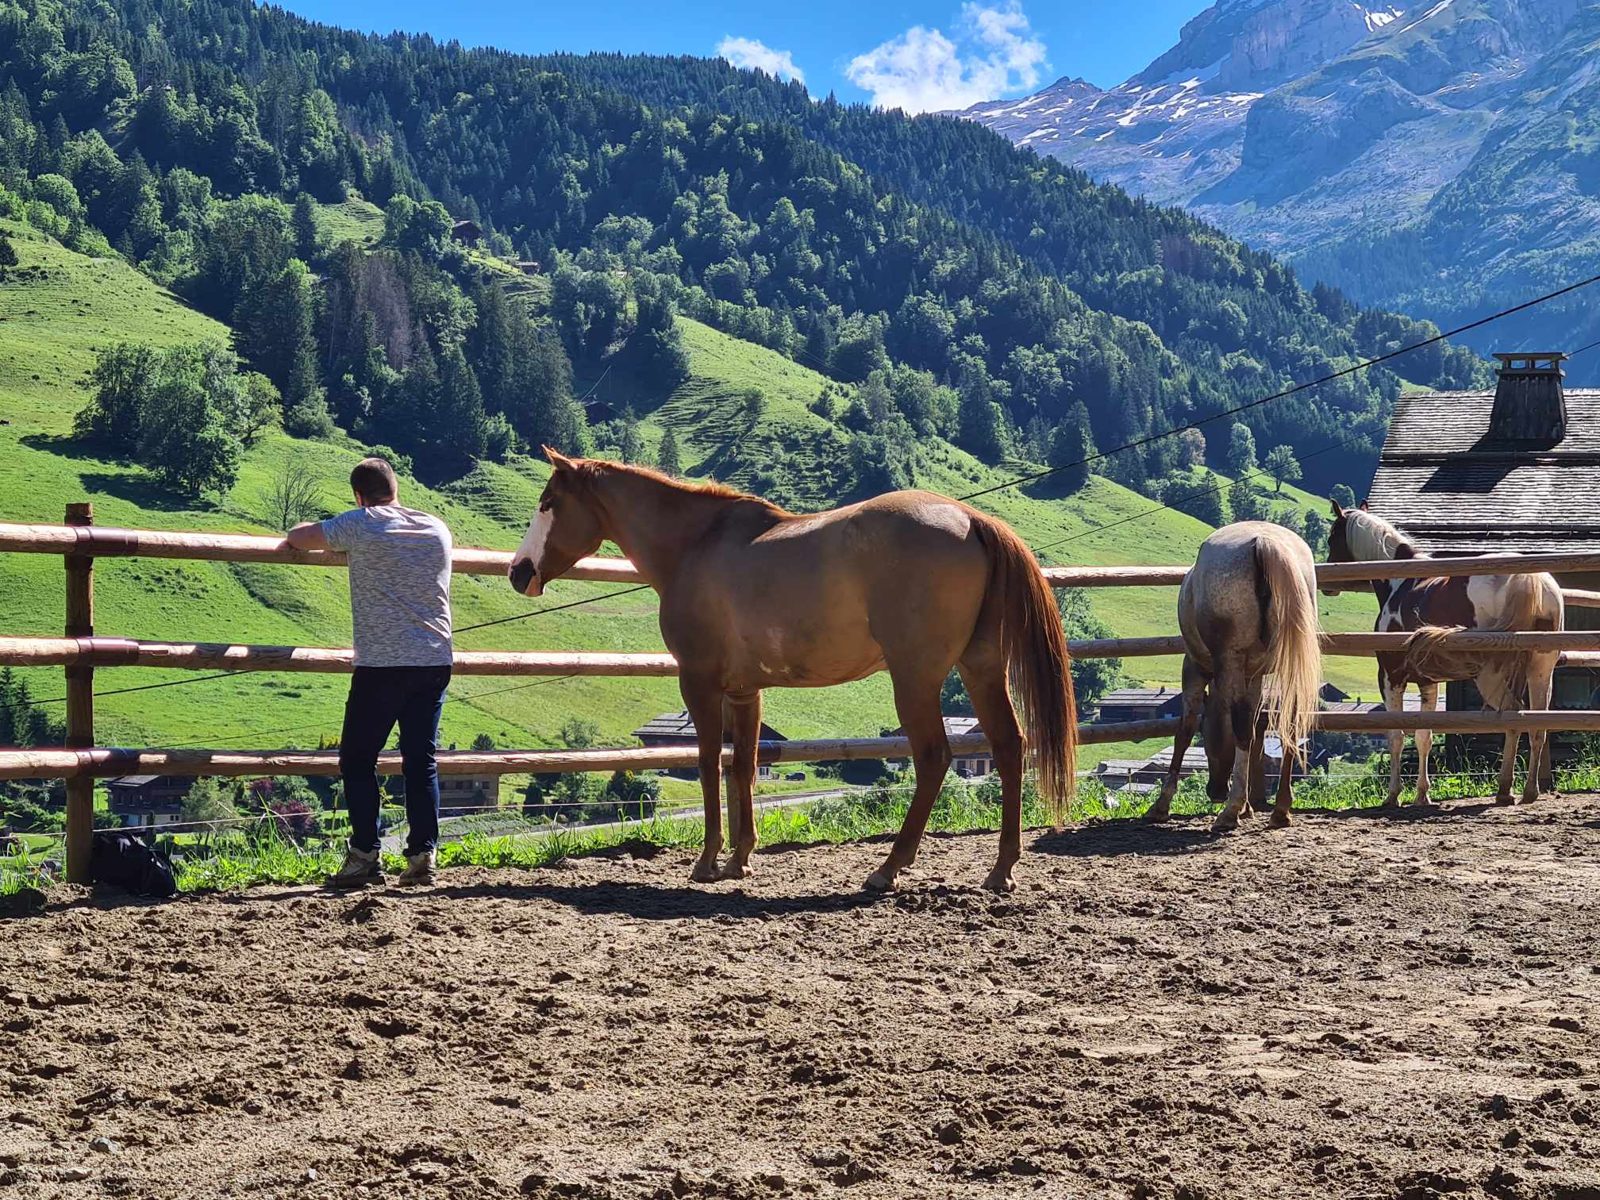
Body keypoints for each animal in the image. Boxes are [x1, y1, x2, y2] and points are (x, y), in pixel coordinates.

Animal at [509, 449, 1077, 893]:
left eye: (548, 502)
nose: (519, 572)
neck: (696, 544)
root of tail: (972, 520)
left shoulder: (699, 682)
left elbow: (708, 764)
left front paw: (707, 862)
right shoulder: (745, 692)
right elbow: (742, 766)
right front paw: (739, 860)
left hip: (915, 679)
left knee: (934, 758)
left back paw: (888, 869)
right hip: (980, 669)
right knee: (1009, 745)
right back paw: (1001, 869)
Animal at [1146, 522, 1322, 833]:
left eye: (1207, 737)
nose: (1215, 791)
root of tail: (1264, 543)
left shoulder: (1194, 668)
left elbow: (1185, 730)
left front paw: (1161, 805)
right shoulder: (1253, 677)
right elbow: (1252, 731)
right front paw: (1249, 807)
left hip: (1229, 660)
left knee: (1241, 726)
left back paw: (1230, 811)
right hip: (1290, 666)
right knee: (1288, 727)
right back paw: (1280, 810)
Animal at [1324, 503, 1562, 806]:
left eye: (1332, 537)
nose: (1327, 585)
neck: (1400, 582)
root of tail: (1530, 579)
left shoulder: (1390, 677)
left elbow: (1396, 736)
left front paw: (1393, 795)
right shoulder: (1428, 682)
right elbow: (1424, 736)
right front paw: (1422, 795)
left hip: (1495, 675)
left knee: (1513, 716)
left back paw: (1506, 789)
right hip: (1539, 669)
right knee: (1535, 725)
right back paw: (1525, 790)